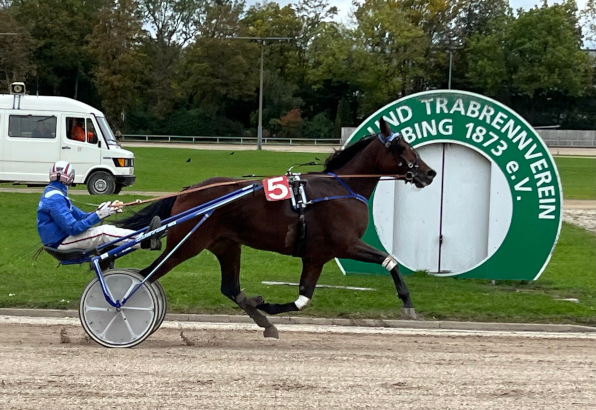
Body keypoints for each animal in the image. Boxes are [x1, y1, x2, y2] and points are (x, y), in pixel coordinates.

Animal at [117, 117, 434, 338]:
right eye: (403, 147)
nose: (429, 173)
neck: (343, 188)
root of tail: (187, 191)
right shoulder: (345, 245)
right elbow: (389, 260)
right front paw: (407, 302)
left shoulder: (316, 256)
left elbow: (303, 298)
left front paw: (264, 306)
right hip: (188, 244)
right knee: (147, 275)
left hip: (227, 245)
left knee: (230, 288)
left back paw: (263, 321)